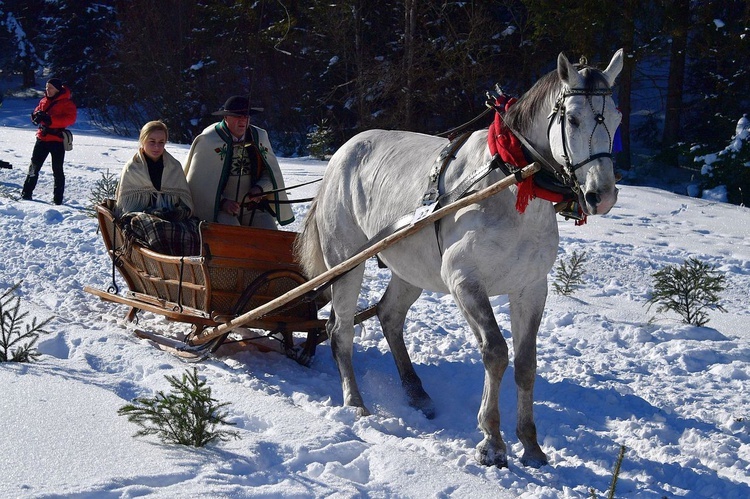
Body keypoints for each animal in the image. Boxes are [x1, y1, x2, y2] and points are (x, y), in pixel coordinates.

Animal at [296, 50, 624, 468]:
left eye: (616, 118)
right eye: (574, 118)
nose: (603, 195)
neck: (510, 182)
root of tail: (340, 154)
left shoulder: (531, 288)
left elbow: (526, 363)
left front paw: (531, 444)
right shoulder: (464, 280)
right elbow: (496, 352)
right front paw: (492, 441)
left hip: (411, 269)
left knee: (389, 316)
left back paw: (417, 393)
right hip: (347, 262)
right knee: (340, 329)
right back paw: (355, 403)